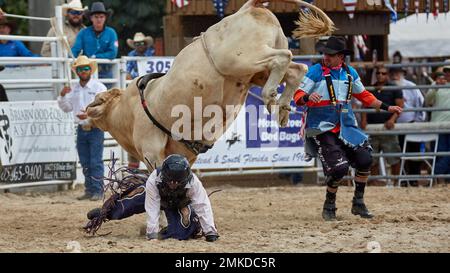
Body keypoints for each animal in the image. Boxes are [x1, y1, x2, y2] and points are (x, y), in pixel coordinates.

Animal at [86, 0, 336, 170]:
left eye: (100, 99)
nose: (86, 110)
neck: (127, 110)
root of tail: (245, 9)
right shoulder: (184, 155)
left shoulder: (151, 152)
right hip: (254, 71)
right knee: (296, 69)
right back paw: (282, 108)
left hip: (239, 59)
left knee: (283, 58)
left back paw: (269, 95)